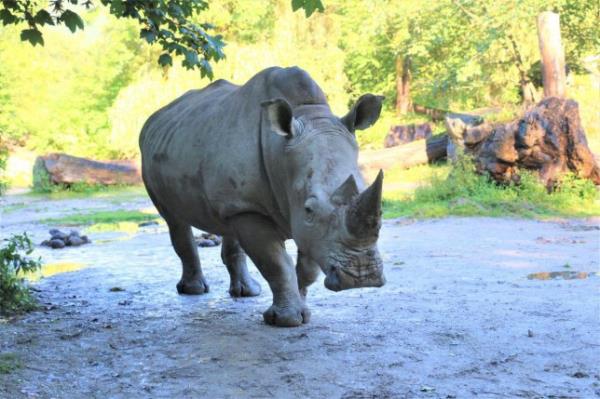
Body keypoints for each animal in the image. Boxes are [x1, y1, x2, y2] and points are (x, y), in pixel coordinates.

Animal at [139, 66, 384, 328]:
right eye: (309, 209)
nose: (362, 276)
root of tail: (155, 117)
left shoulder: (299, 220)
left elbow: (307, 268)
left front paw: (301, 309)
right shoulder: (254, 209)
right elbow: (276, 264)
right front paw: (285, 320)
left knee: (226, 220)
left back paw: (247, 292)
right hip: (152, 162)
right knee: (175, 220)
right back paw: (194, 290)